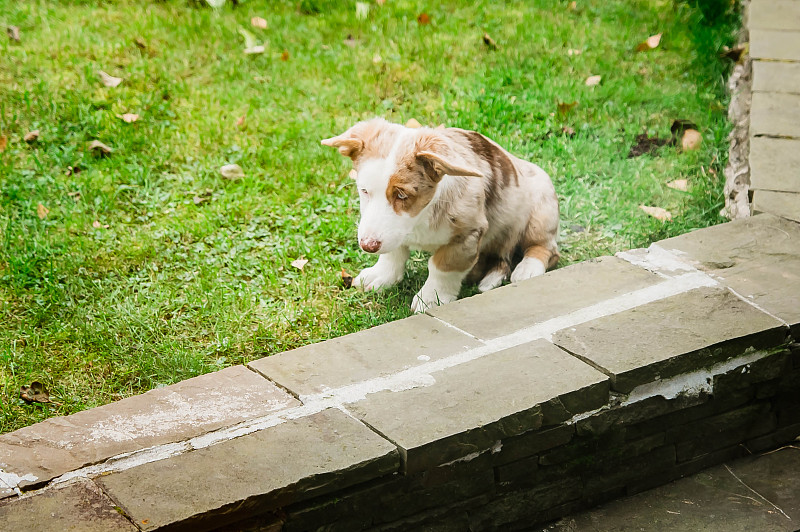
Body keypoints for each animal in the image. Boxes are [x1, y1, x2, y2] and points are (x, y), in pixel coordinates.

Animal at [322, 117, 560, 312]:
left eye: (401, 195)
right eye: (364, 191)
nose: (367, 246)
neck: (420, 217)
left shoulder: (466, 236)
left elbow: (441, 268)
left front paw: (430, 299)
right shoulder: (395, 232)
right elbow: (393, 254)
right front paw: (380, 276)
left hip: (541, 209)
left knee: (546, 248)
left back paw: (528, 269)